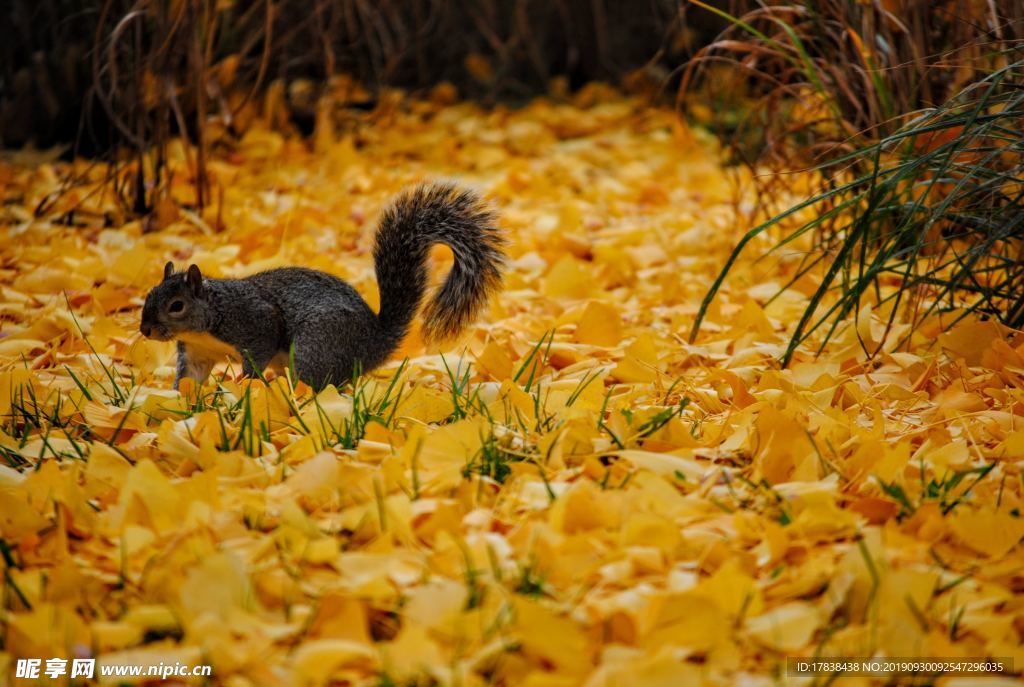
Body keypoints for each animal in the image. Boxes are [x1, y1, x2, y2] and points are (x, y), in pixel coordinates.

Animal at [140, 182, 507, 393]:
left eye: (176, 305)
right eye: (148, 297)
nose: (145, 331)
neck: (211, 314)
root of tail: (374, 343)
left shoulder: (254, 321)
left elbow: (257, 353)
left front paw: (247, 388)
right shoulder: (197, 351)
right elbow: (190, 378)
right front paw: (179, 401)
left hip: (315, 346)